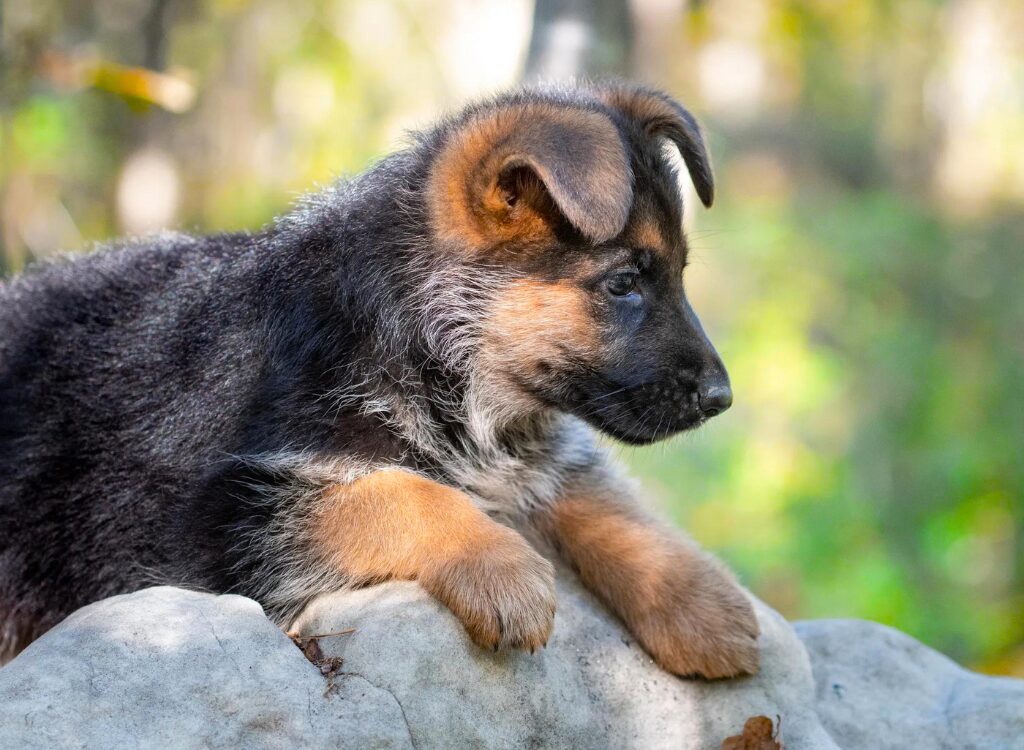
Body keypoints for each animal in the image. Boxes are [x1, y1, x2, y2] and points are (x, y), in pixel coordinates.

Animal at [2, 85, 761, 676]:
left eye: (679, 274)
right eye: (624, 283)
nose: (722, 400)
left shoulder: (537, 449)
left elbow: (600, 497)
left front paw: (696, 597)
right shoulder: (223, 524)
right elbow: (392, 491)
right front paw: (500, 565)